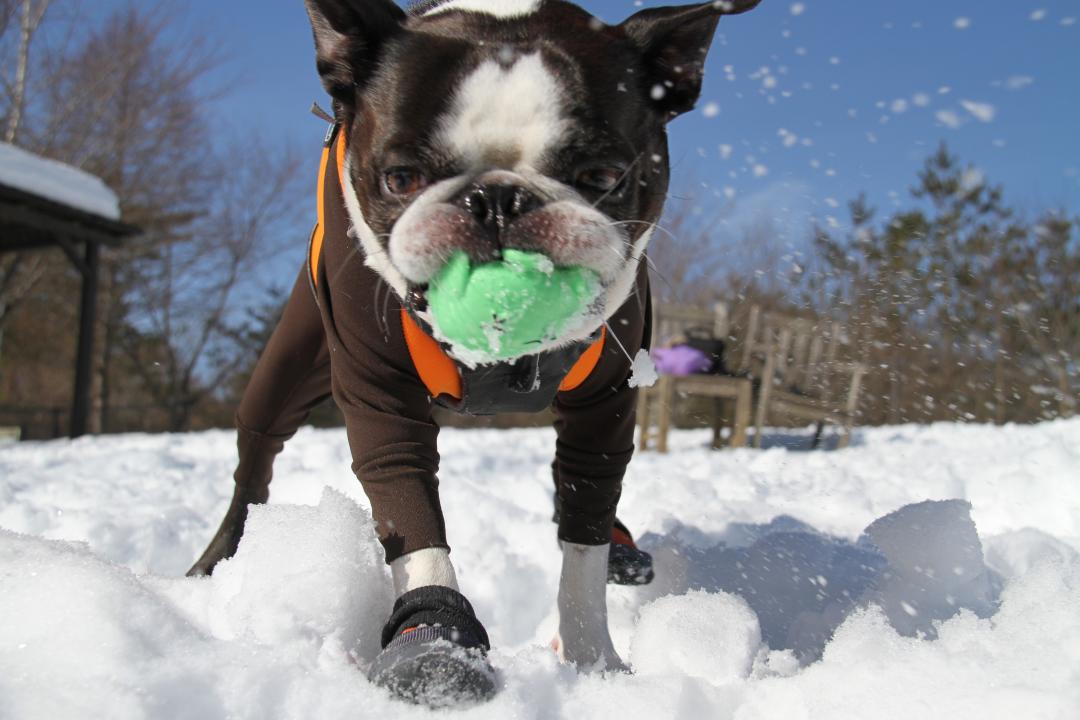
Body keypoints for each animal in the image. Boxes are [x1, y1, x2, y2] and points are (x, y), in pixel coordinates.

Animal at [187, 0, 760, 708]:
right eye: (400, 178)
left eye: (603, 178)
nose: (496, 199)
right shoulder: (379, 393)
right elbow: (409, 511)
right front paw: (435, 644)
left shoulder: (604, 404)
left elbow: (584, 537)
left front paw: (595, 664)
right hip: (289, 370)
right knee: (255, 465)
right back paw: (215, 561)